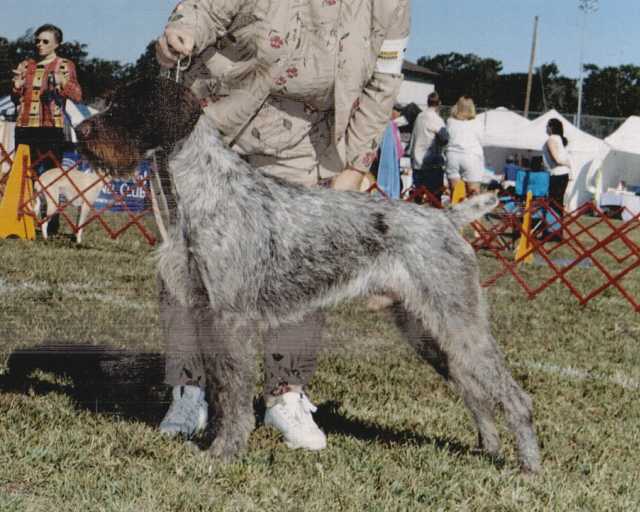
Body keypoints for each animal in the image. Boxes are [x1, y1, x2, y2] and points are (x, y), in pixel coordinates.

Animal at [77, 78, 544, 474]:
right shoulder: (205, 313)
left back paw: (529, 468)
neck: (205, 189)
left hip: (459, 324)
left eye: (131, 105)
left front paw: (224, 451)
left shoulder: (230, 318)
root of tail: (447, 218)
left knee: (514, 397)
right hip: (427, 332)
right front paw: (213, 439)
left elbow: (231, 391)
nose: (80, 130)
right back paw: (489, 449)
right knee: (475, 391)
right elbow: (218, 386)